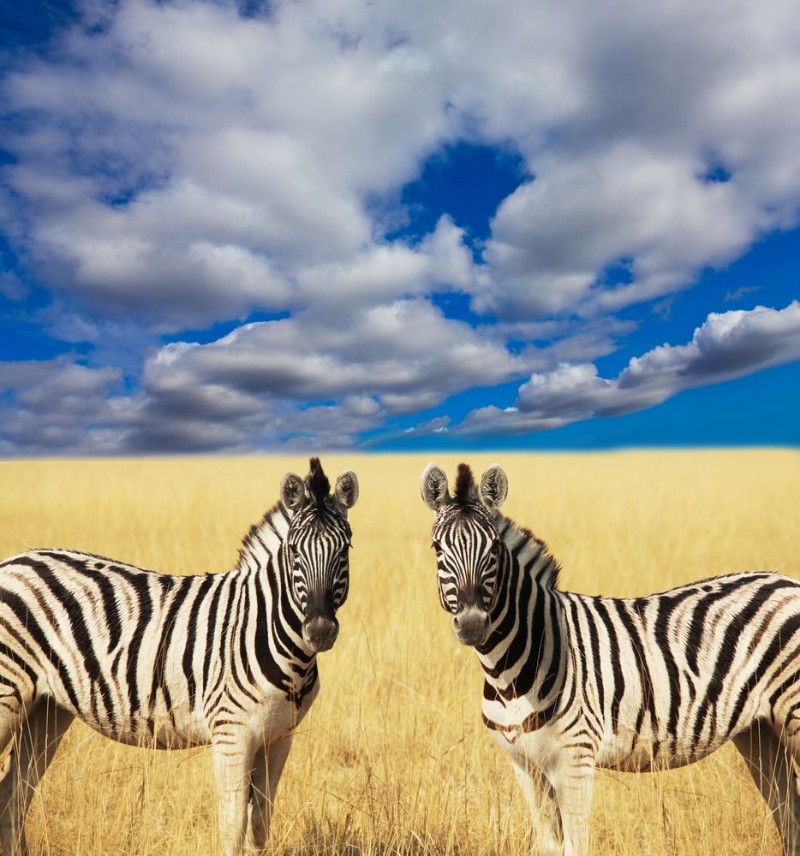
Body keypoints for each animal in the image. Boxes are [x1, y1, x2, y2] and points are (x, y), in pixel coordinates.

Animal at [0, 457, 358, 856]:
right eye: (294, 551)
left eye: (345, 549)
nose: (320, 631)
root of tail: (13, 561)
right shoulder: (232, 734)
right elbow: (233, 824)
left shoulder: (280, 737)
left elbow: (260, 825)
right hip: (8, 693)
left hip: (47, 708)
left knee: (14, 793)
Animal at [421, 461, 800, 856]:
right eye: (436, 547)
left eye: (494, 547)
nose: (472, 624)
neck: (508, 673)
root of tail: (788, 581)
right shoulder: (524, 765)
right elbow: (548, 845)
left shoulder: (575, 759)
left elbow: (576, 846)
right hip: (759, 730)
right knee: (789, 815)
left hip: (792, 713)